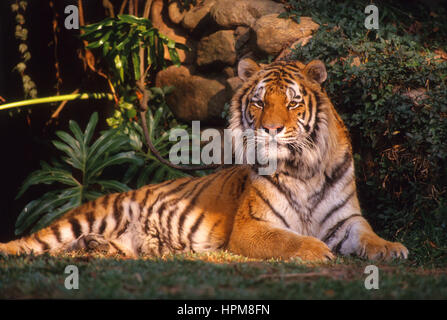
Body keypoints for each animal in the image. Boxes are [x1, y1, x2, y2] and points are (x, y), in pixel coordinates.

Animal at [0, 58, 410, 262]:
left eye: (293, 103)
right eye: (259, 101)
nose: (271, 129)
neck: (302, 167)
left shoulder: (347, 220)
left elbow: (368, 235)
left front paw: (392, 248)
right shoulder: (252, 227)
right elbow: (289, 241)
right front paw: (315, 250)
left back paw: (94, 247)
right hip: (87, 216)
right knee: (30, 243)